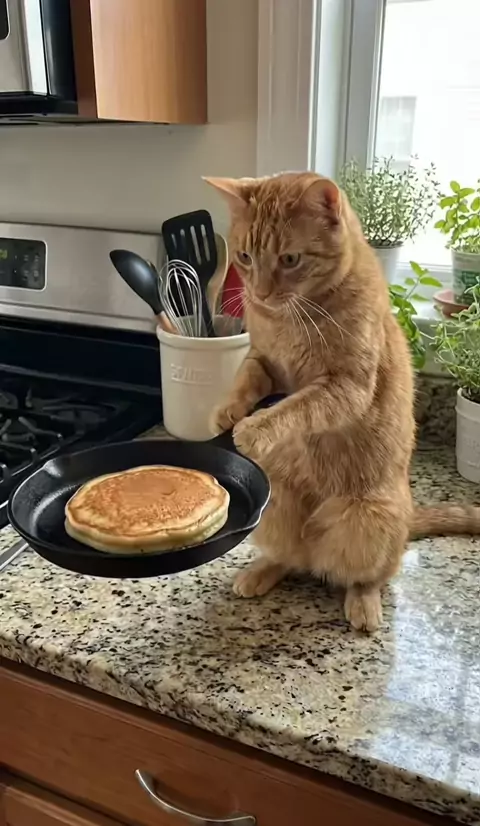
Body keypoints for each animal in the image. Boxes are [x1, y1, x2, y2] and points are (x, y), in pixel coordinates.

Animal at [204, 172, 480, 632]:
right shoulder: (262, 360)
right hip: (275, 508)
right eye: (244, 257)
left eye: (290, 259)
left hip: (366, 521)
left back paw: (363, 603)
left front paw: (257, 427)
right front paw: (226, 410)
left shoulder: (346, 386)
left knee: (364, 575)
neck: (289, 319)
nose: (259, 293)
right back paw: (264, 570)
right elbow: (246, 380)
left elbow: (295, 407)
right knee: (293, 558)